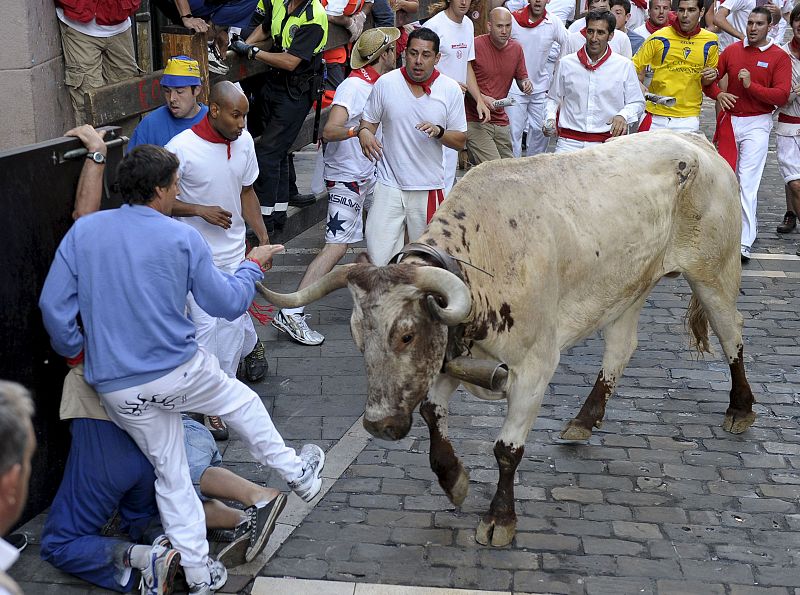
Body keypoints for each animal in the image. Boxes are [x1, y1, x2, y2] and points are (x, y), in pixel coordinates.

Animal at [258, 132, 756, 548]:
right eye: (358, 339)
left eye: (406, 335)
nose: (379, 424)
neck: (487, 257)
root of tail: (694, 142)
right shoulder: (449, 357)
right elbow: (431, 415)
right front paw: (454, 479)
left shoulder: (535, 369)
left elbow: (506, 450)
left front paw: (500, 518)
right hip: (626, 288)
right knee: (621, 348)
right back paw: (585, 418)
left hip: (713, 272)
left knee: (731, 332)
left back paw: (740, 408)